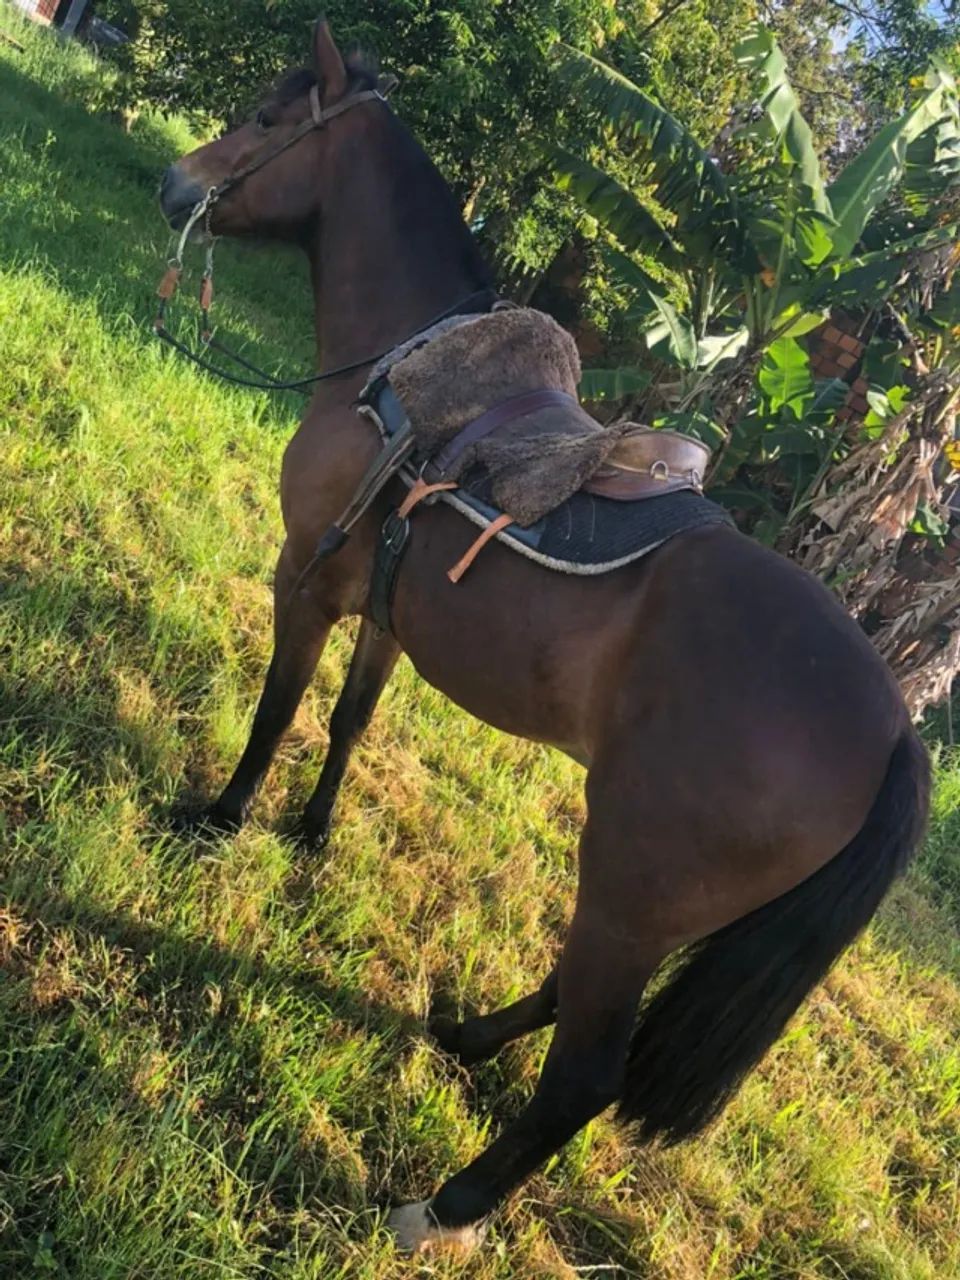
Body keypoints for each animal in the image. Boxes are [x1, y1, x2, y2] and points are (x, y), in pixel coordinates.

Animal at [159, 19, 930, 1257]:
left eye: (274, 120)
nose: (177, 181)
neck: (406, 368)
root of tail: (898, 735)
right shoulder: (388, 612)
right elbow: (349, 721)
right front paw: (309, 835)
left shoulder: (306, 579)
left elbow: (277, 710)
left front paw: (221, 818)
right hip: (654, 904)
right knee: (574, 997)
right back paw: (466, 1034)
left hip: (627, 883)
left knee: (588, 1073)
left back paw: (439, 1205)